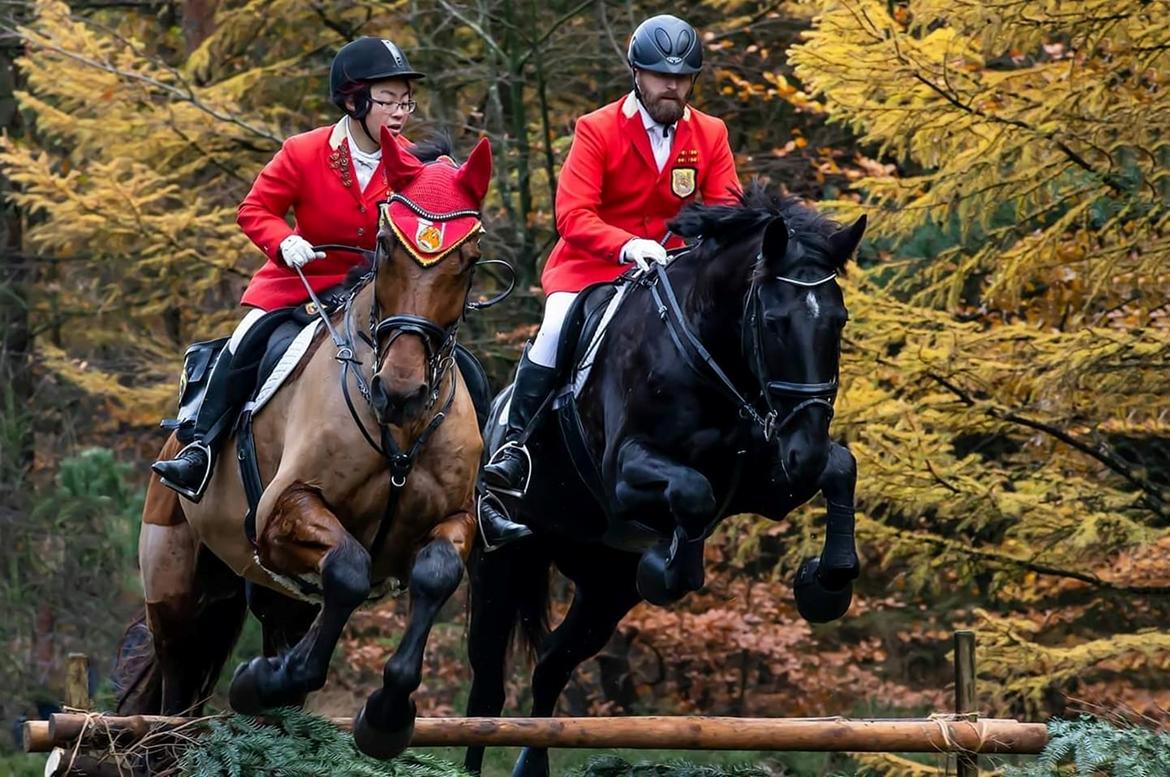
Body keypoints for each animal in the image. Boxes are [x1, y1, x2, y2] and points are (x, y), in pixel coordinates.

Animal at [113, 129, 497, 760]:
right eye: (386, 247)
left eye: (465, 262)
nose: (401, 393)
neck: (398, 432)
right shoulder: (283, 512)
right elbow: (348, 568)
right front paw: (260, 680)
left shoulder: (454, 518)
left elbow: (434, 573)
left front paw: (386, 717)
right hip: (176, 590)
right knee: (175, 694)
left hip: (273, 592)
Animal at [464, 184, 867, 777]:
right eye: (773, 322)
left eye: (837, 321)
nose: (805, 450)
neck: (706, 352)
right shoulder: (626, 471)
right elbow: (693, 493)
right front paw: (669, 568)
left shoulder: (769, 483)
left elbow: (841, 469)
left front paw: (826, 582)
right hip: (503, 563)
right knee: (488, 687)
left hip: (604, 588)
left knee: (551, 667)